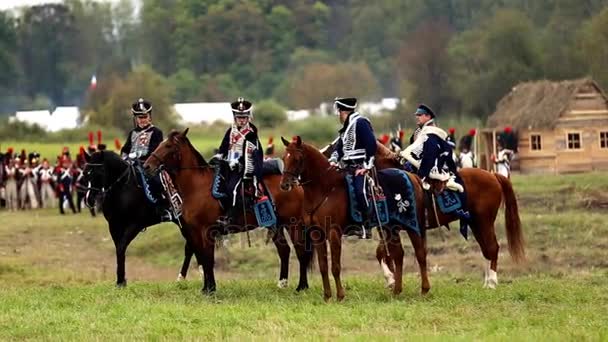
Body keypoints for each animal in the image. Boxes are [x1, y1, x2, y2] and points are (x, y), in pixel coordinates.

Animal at [144, 130, 312, 294]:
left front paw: (210, 289)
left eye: (168, 146)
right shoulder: (194, 232)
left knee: (300, 251)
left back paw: (302, 287)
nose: (146, 166)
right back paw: (282, 284)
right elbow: (202, 257)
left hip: (293, 223)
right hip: (274, 224)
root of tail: (295, 184)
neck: (196, 187)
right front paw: (206, 288)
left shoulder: (206, 231)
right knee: (284, 250)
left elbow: (208, 259)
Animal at [280, 135, 428, 300]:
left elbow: (335, 266)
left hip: (412, 224)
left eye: (297, 159)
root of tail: (412, 176)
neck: (325, 189)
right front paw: (327, 296)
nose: (284, 184)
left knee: (420, 253)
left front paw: (340, 295)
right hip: (391, 228)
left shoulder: (334, 233)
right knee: (399, 254)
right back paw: (397, 290)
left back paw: (424, 290)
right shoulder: (316, 233)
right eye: (284, 158)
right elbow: (323, 266)